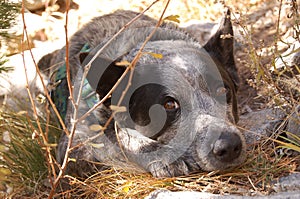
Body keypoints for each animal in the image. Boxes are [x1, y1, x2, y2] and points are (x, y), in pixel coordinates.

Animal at [38, 8, 246, 177]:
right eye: (169, 104)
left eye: (222, 89)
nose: (229, 146)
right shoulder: (73, 149)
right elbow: (119, 139)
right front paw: (163, 156)